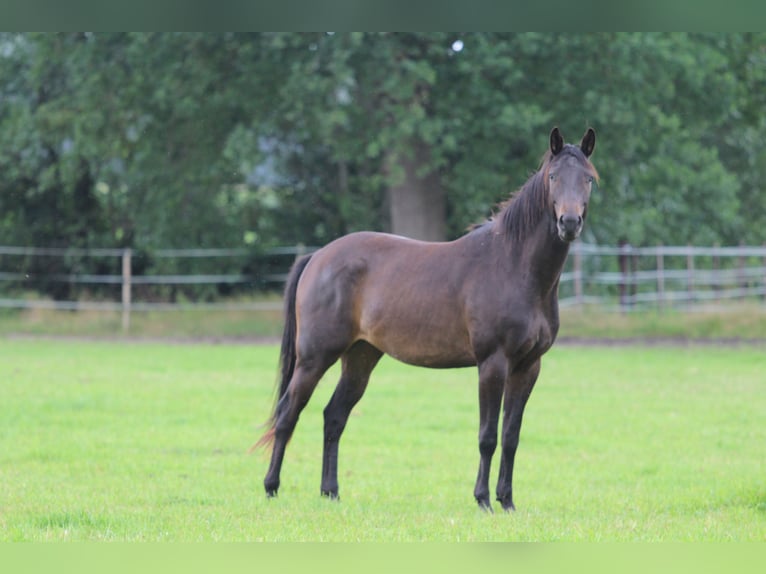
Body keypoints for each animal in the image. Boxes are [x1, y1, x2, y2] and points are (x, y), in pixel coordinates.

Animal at [255, 127, 598, 512]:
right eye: (553, 177)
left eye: (588, 178)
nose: (569, 223)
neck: (514, 266)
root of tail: (317, 257)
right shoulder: (492, 363)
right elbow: (488, 436)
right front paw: (483, 500)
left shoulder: (528, 366)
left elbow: (511, 436)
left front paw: (507, 501)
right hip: (314, 358)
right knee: (288, 414)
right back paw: (271, 487)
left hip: (360, 357)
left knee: (334, 417)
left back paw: (330, 492)